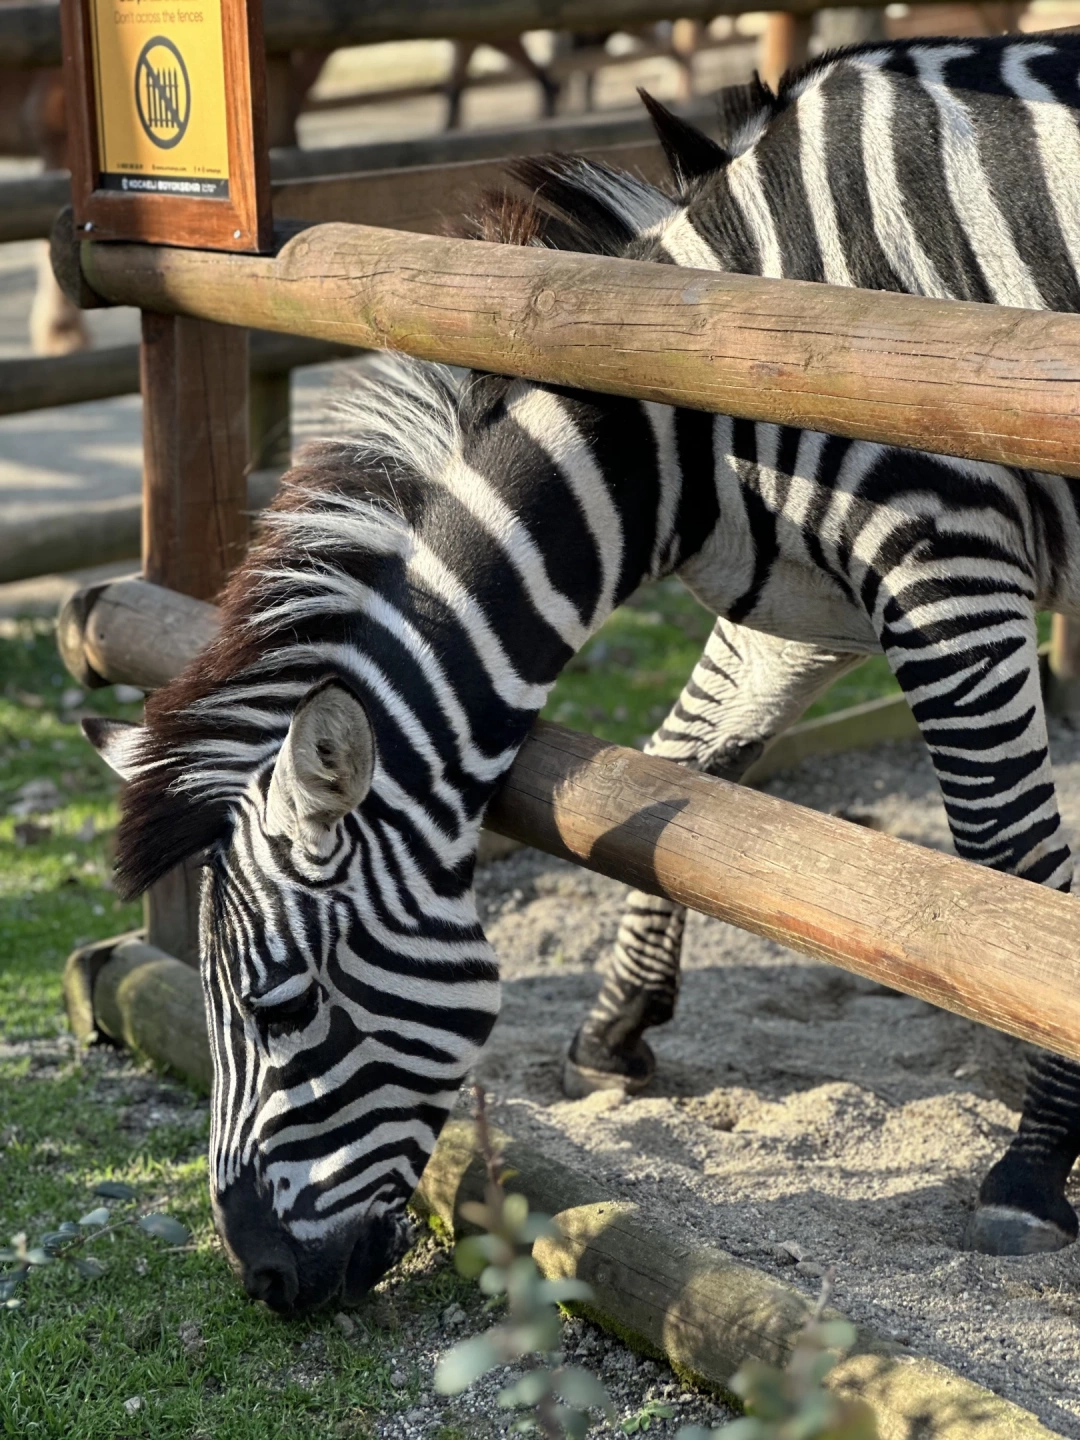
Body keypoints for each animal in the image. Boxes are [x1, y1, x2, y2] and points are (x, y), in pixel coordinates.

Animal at [85, 33, 1080, 1312]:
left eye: (282, 1005)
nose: (262, 1279)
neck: (699, 405)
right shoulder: (801, 610)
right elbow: (692, 781)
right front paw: (615, 1035)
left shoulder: (943, 559)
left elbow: (1010, 868)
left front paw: (1034, 1164)